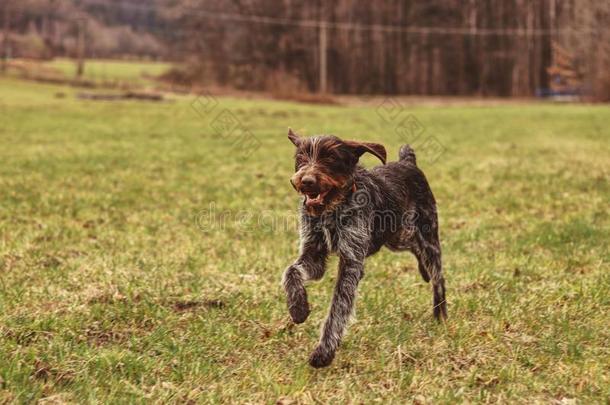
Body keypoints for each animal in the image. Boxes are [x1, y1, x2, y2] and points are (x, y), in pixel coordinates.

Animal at [282, 129, 446, 366]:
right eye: (301, 157)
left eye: (330, 158)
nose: (306, 181)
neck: (332, 210)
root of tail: (408, 162)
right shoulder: (314, 254)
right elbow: (291, 272)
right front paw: (298, 308)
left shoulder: (351, 262)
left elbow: (338, 308)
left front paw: (324, 352)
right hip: (396, 238)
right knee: (415, 251)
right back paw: (423, 272)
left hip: (426, 237)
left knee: (437, 276)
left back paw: (440, 313)